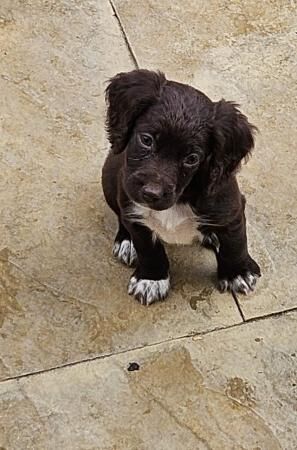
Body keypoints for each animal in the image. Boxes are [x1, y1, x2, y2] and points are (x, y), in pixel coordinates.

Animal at [101, 68, 260, 304]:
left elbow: (235, 242)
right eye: (146, 140)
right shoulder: (134, 210)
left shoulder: (230, 209)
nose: (151, 194)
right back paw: (126, 241)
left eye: (192, 158)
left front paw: (237, 273)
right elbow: (148, 249)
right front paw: (151, 279)